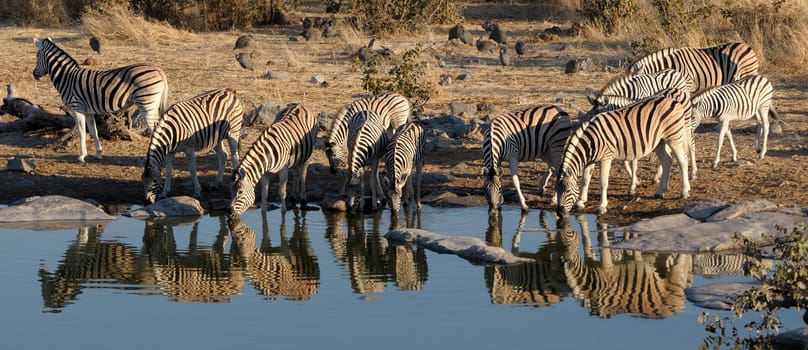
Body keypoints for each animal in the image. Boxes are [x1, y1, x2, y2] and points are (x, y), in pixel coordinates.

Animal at [32, 37, 169, 163]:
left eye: (37, 56)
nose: (34, 74)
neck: (67, 78)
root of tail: (159, 70)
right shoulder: (88, 112)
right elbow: (94, 132)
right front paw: (98, 153)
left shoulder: (77, 108)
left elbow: (82, 132)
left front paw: (81, 156)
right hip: (153, 104)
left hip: (146, 104)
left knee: (155, 129)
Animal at [556, 87, 696, 215]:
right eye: (556, 190)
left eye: (567, 191)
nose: (559, 212)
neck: (591, 142)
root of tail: (673, 100)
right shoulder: (591, 160)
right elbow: (585, 180)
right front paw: (581, 201)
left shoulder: (606, 157)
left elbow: (603, 182)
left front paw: (602, 206)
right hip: (660, 141)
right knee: (667, 162)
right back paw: (660, 191)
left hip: (674, 136)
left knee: (683, 160)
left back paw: (684, 191)